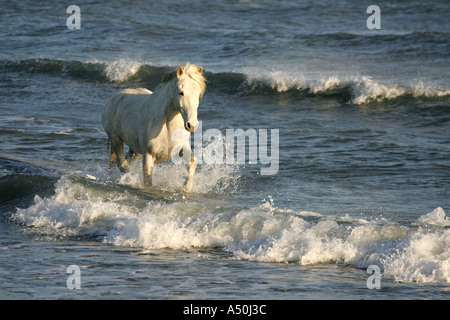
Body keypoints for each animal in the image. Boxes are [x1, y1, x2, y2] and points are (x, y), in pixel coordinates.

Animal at [102, 62, 206, 192]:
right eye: (181, 92)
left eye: (198, 93)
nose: (192, 125)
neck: (168, 128)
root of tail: (113, 99)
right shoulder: (148, 156)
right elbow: (148, 180)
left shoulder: (181, 148)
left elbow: (192, 162)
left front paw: (186, 188)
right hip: (115, 139)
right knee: (121, 164)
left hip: (135, 149)